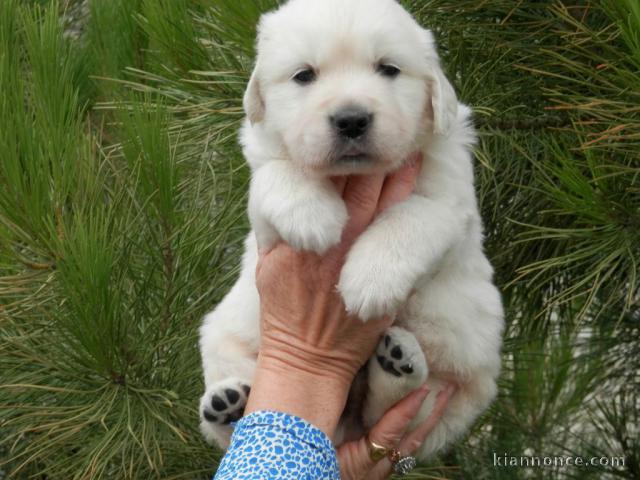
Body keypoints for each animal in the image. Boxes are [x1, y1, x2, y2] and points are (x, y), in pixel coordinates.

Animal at [200, 0, 504, 460]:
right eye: (304, 75)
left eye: (388, 69)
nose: (351, 120)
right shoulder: (264, 211)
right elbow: (279, 173)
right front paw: (314, 217)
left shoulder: (451, 202)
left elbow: (411, 217)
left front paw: (369, 281)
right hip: (223, 335)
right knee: (229, 413)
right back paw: (227, 402)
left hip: (457, 380)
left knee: (395, 410)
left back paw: (398, 362)